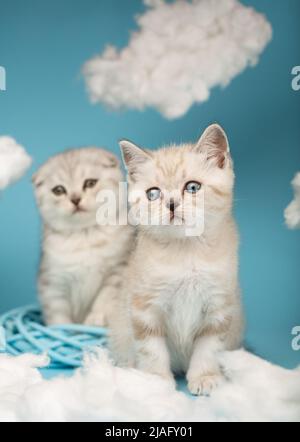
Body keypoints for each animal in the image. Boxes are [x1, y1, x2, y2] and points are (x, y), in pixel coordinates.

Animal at [110, 124, 244, 398]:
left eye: (192, 188)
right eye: (153, 194)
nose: (171, 204)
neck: (186, 251)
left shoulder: (220, 307)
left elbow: (209, 347)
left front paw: (205, 377)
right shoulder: (145, 307)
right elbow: (151, 349)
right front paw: (156, 381)